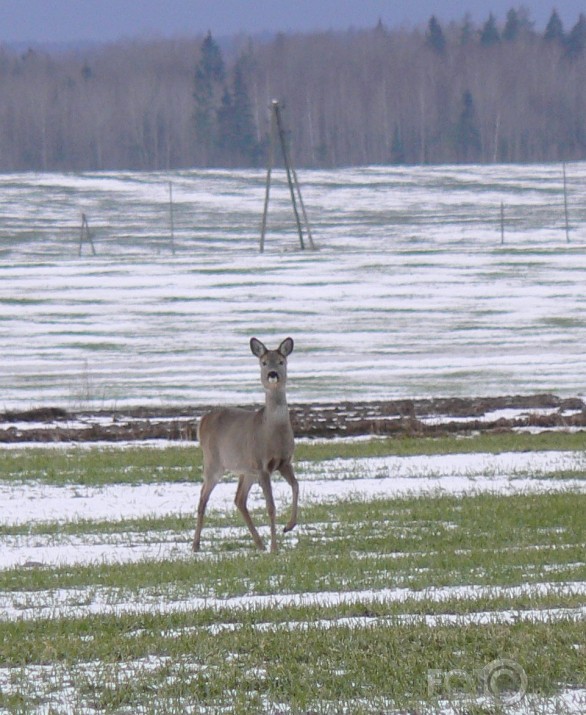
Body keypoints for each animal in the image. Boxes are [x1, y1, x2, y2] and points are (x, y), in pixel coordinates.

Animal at [193, 338, 296, 552]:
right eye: (263, 362)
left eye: (281, 361)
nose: (272, 374)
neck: (272, 433)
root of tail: (202, 421)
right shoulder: (262, 465)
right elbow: (271, 506)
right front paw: (275, 548)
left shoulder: (284, 462)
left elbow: (296, 486)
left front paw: (289, 526)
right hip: (214, 462)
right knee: (203, 498)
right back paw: (195, 545)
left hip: (246, 470)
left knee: (239, 499)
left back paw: (259, 543)